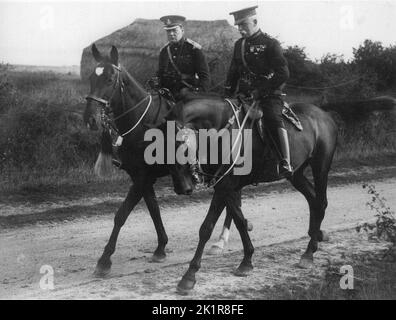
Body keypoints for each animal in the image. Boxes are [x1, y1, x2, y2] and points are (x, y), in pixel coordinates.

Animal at [172, 96, 338, 294]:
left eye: (181, 146)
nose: (182, 188)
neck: (222, 131)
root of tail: (325, 115)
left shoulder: (225, 186)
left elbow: (208, 227)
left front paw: (189, 276)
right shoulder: (226, 187)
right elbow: (238, 221)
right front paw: (246, 261)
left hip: (320, 167)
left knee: (320, 203)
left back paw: (309, 253)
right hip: (296, 174)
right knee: (314, 201)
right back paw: (314, 241)